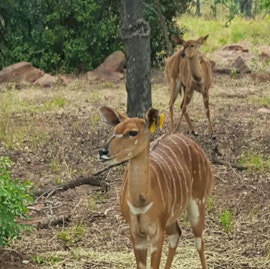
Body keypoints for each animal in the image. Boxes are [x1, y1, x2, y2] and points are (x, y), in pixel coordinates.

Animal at [98, 105, 213, 268]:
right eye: (115, 130)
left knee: (199, 241)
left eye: (132, 132)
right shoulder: (136, 234)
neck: (140, 203)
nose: (102, 151)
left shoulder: (156, 233)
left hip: (198, 203)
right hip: (170, 218)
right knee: (177, 233)